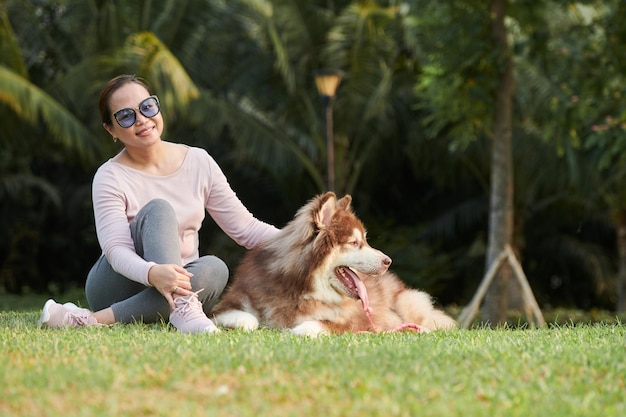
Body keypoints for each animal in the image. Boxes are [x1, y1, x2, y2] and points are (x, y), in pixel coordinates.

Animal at [210, 192, 454, 334]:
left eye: (365, 240)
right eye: (355, 243)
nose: (388, 261)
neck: (300, 289)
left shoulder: (352, 323)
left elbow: (308, 327)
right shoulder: (227, 306)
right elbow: (248, 320)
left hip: (407, 303)